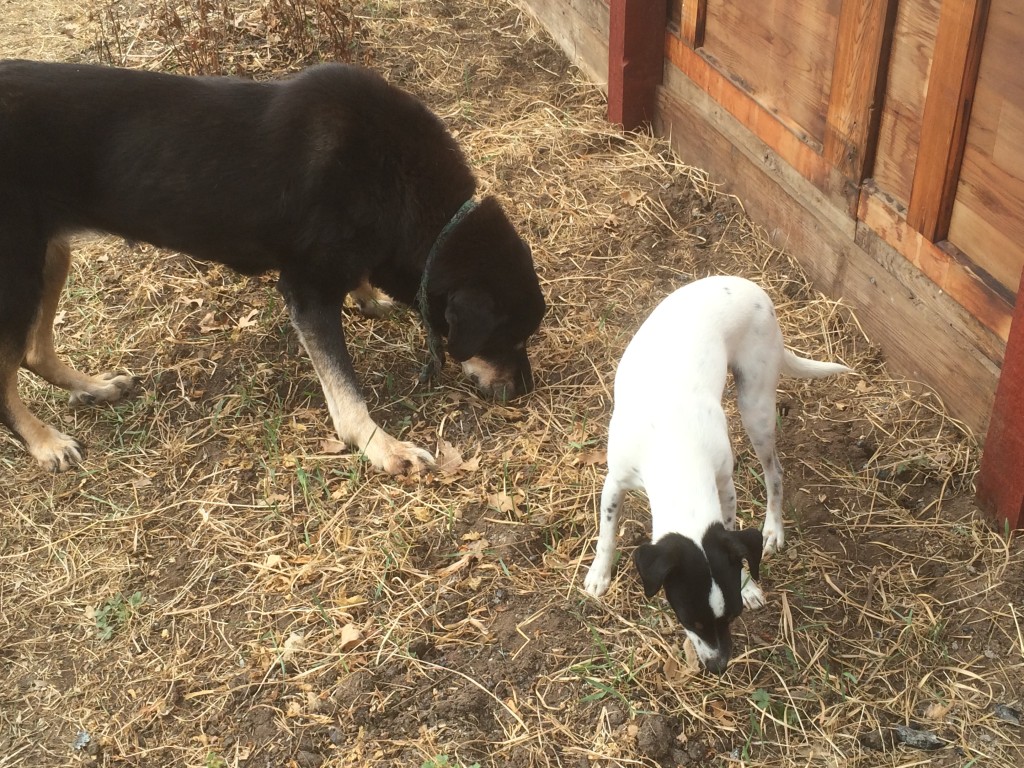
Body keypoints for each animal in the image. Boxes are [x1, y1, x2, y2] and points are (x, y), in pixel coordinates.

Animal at [0, 60, 548, 479]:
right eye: (510, 337)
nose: (526, 389)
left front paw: (368, 296)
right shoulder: (307, 293)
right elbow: (345, 390)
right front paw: (383, 447)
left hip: (49, 258)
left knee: (33, 352)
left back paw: (93, 388)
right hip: (18, 274)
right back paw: (45, 442)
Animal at [585, 274, 847, 671]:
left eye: (734, 615)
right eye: (687, 618)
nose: (718, 665)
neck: (676, 447)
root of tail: (753, 287)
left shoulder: (724, 484)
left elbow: (732, 535)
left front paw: (748, 584)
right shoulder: (615, 481)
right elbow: (607, 533)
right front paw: (599, 575)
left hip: (755, 404)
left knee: (775, 473)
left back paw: (773, 530)